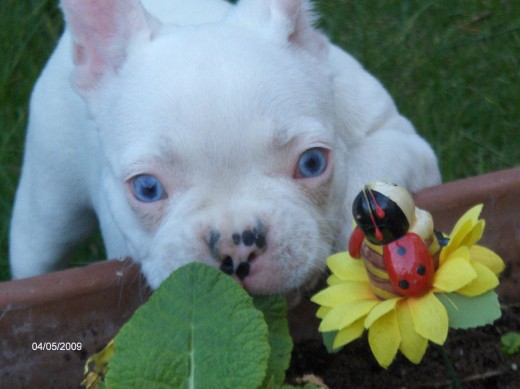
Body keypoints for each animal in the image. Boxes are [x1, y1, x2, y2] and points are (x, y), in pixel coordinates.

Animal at [9, 0, 438, 292]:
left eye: (313, 163)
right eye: (146, 188)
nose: (237, 243)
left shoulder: (402, 141)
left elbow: (369, 172)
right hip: (46, 209)